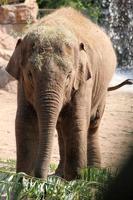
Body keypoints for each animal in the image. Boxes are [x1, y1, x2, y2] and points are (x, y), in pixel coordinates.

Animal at [5, 7, 116, 180]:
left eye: (69, 75)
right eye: (30, 74)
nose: (39, 176)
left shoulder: (84, 81)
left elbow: (76, 121)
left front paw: (75, 180)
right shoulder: (22, 85)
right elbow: (25, 120)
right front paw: (23, 178)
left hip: (102, 90)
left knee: (92, 125)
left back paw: (92, 174)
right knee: (60, 127)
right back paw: (59, 174)